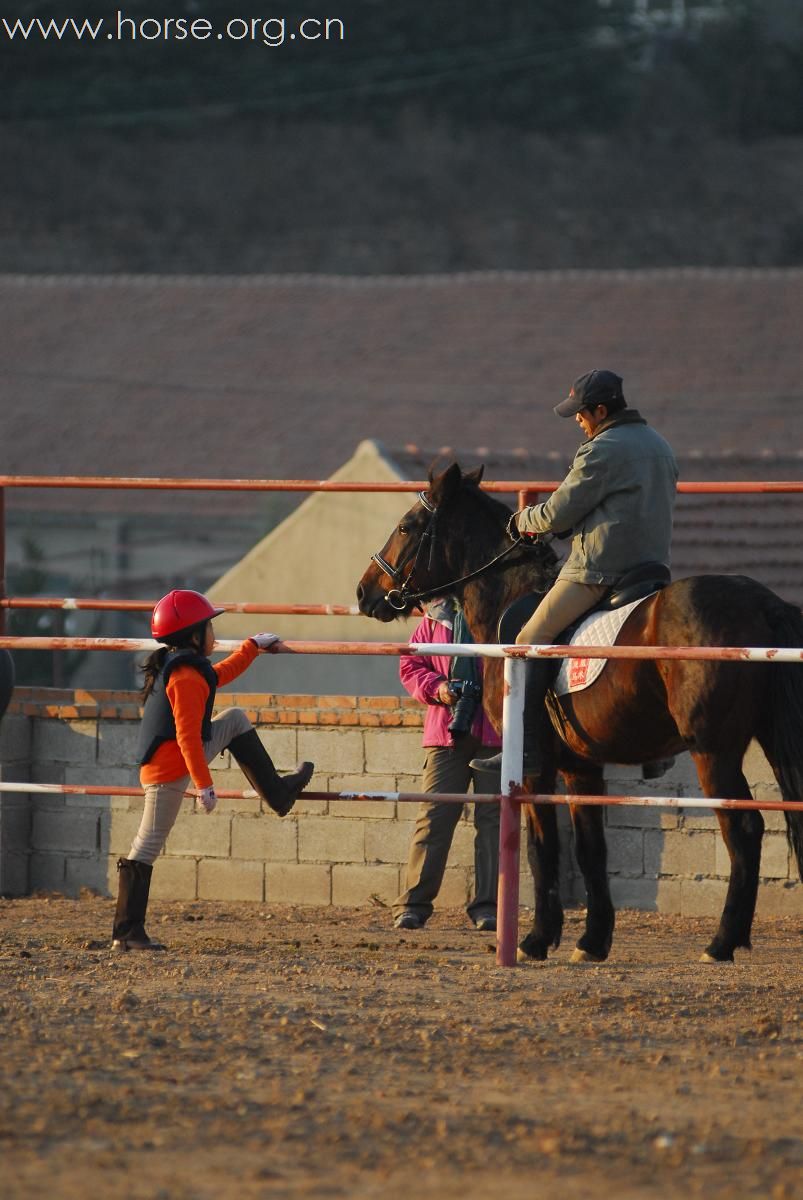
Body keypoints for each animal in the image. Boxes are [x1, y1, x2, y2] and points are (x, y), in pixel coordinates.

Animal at [355, 463, 801, 960]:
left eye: (406, 527)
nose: (365, 592)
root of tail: (762, 602)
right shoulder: (580, 767)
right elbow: (591, 850)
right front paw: (592, 940)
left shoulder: (535, 767)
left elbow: (542, 847)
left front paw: (536, 939)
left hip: (713, 752)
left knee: (743, 828)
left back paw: (721, 942)